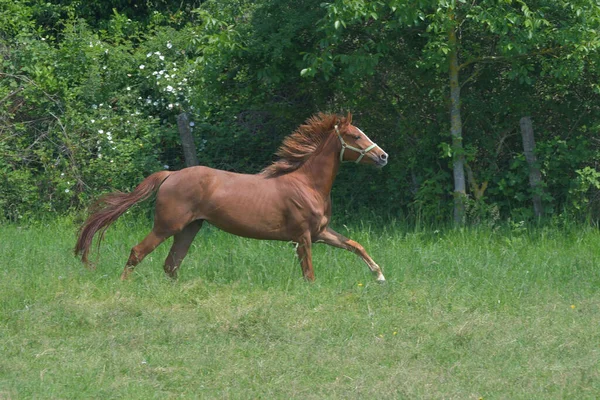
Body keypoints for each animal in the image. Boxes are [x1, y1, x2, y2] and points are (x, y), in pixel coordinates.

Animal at [75, 112, 390, 282]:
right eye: (355, 136)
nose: (383, 156)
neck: (307, 184)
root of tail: (170, 174)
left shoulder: (321, 232)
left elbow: (355, 245)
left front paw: (380, 276)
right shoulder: (303, 237)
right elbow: (309, 272)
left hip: (190, 228)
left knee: (171, 264)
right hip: (167, 226)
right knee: (138, 252)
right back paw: (122, 285)